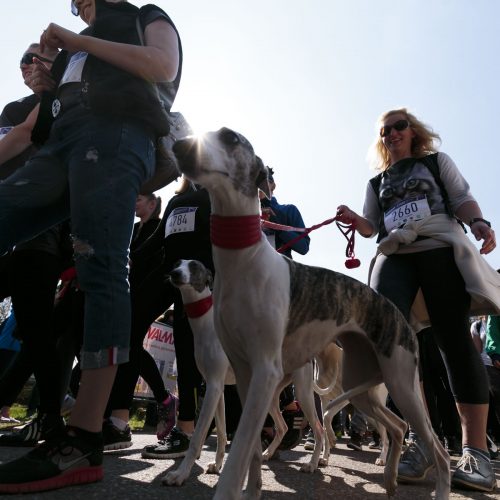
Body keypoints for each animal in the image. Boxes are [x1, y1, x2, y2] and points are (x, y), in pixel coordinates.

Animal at [172, 130, 450, 500]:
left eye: (229, 137)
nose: (178, 145)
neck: (246, 260)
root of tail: (397, 314)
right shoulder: (244, 375)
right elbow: (250, 453)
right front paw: (252, 488)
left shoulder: (261, 371)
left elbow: (237, 454)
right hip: (361, 385)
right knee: (396, 426)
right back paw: (389, 478)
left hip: (399, 383)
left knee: (436, 450)